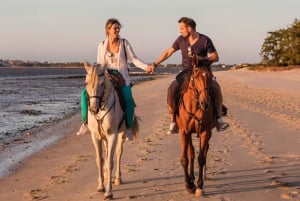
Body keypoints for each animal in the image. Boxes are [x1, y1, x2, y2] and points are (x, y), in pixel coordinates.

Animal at [84, 62, 137, 200]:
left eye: (102, 84)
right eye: (86, 83)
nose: (93, 109)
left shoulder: (112, 135)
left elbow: (109, 161)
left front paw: (108, 192)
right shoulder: (96, 136)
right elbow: (100, 160)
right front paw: (101, 186)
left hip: (121, 134)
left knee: (118, 153)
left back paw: (117, 178)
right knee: (107, 152)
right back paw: (107, 176)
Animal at [176, 62, 216, 196]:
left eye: (210, 76)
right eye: (196, 77)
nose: (205, 103)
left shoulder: (205, 132)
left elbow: (201, 158)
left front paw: (199, 185)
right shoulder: (184, 132)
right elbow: (185, 158)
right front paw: (189, 184)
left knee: (205, 149)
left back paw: (203, 175)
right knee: (191, 152)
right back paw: (191, 176)